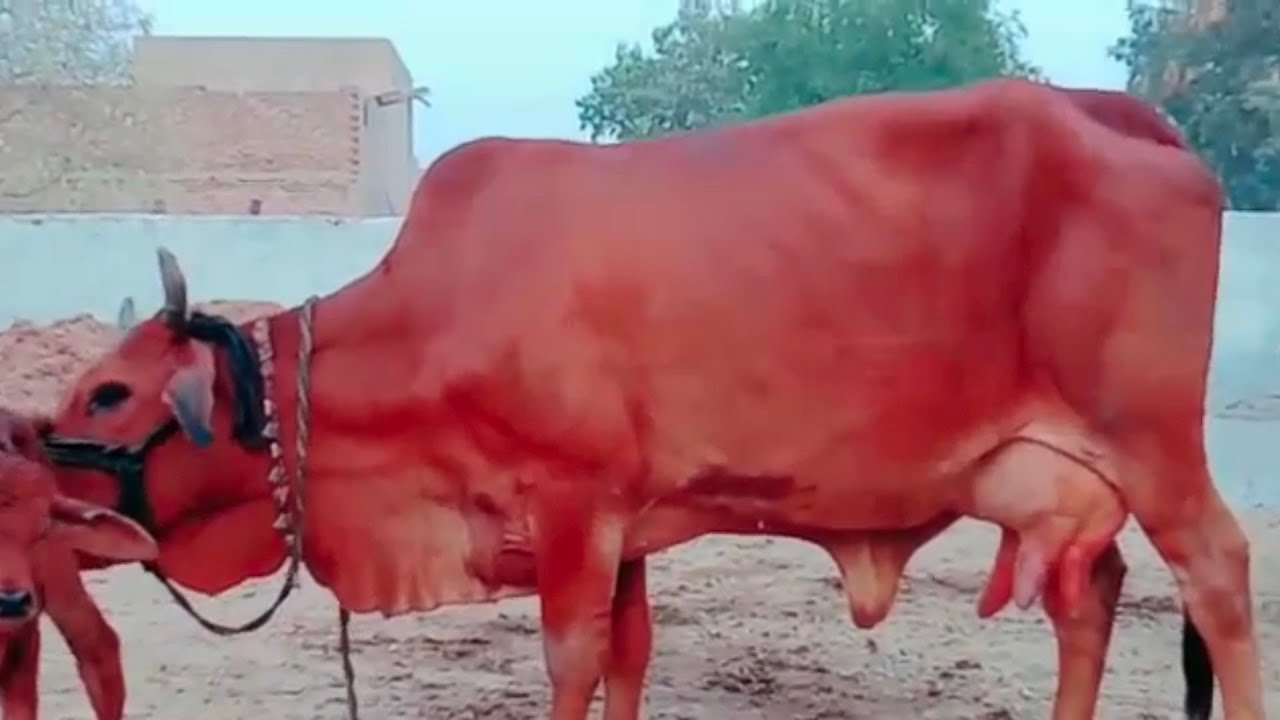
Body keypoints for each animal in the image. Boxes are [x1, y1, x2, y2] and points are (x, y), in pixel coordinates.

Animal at [39, 77, 1263, 719]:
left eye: (108, 393)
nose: (30, 462)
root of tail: (1115, 112)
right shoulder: (623, 526)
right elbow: (628, 655)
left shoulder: (573, 509)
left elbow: (574, 658)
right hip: (1042, 477)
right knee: (1089, 594)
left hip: (1153, 443)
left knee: (1215, 575)